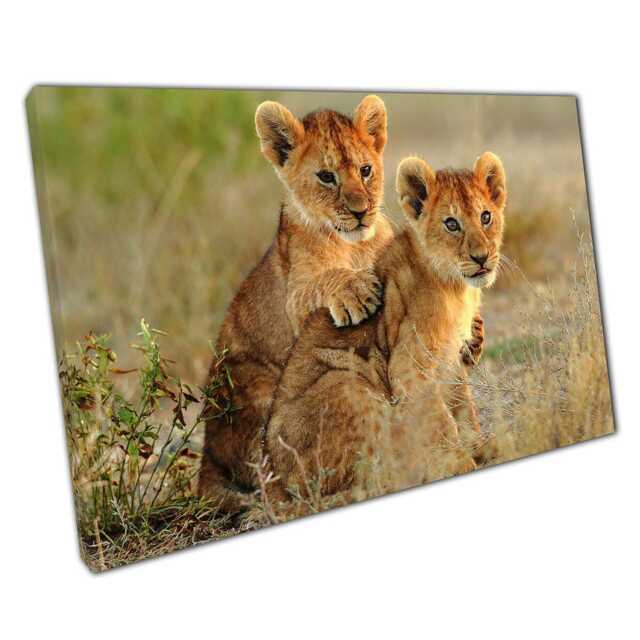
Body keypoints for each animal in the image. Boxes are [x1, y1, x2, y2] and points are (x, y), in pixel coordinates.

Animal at [198, 96, 394, 506]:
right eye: (326, 177)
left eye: (366, 170)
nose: (361, 211)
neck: (354, 246)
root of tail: (207, 454)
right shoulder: (296, 294)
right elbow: (319, 284)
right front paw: (354, 290)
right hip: (252, 385)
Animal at [264, 152, 506, 501]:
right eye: (451, 224)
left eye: (486, 217)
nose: (482, 258)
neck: (456, 288)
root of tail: (277, 481)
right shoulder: (410, 366)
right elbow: (440, 419)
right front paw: (458, 463)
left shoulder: (450, 360)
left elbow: (463, 407)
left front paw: (480, 448)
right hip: (347, 381)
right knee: (364, 480)